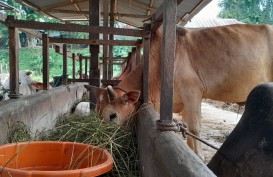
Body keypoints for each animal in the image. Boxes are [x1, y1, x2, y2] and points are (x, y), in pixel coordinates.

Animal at [84, 23, 272, 159]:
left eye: (112, 116)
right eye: (97, 113)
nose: (101, 141)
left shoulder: (192, 91)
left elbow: (195, 128)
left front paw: (199, 157)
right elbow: (188, 128)